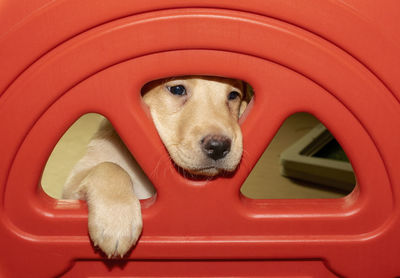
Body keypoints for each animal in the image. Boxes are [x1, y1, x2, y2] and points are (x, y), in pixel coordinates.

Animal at [63, 75, 248, 258]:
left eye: (233, 95)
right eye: (177, 89)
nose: (218, 147)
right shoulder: (70, 190)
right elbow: (110, 166)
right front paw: (116, 218)